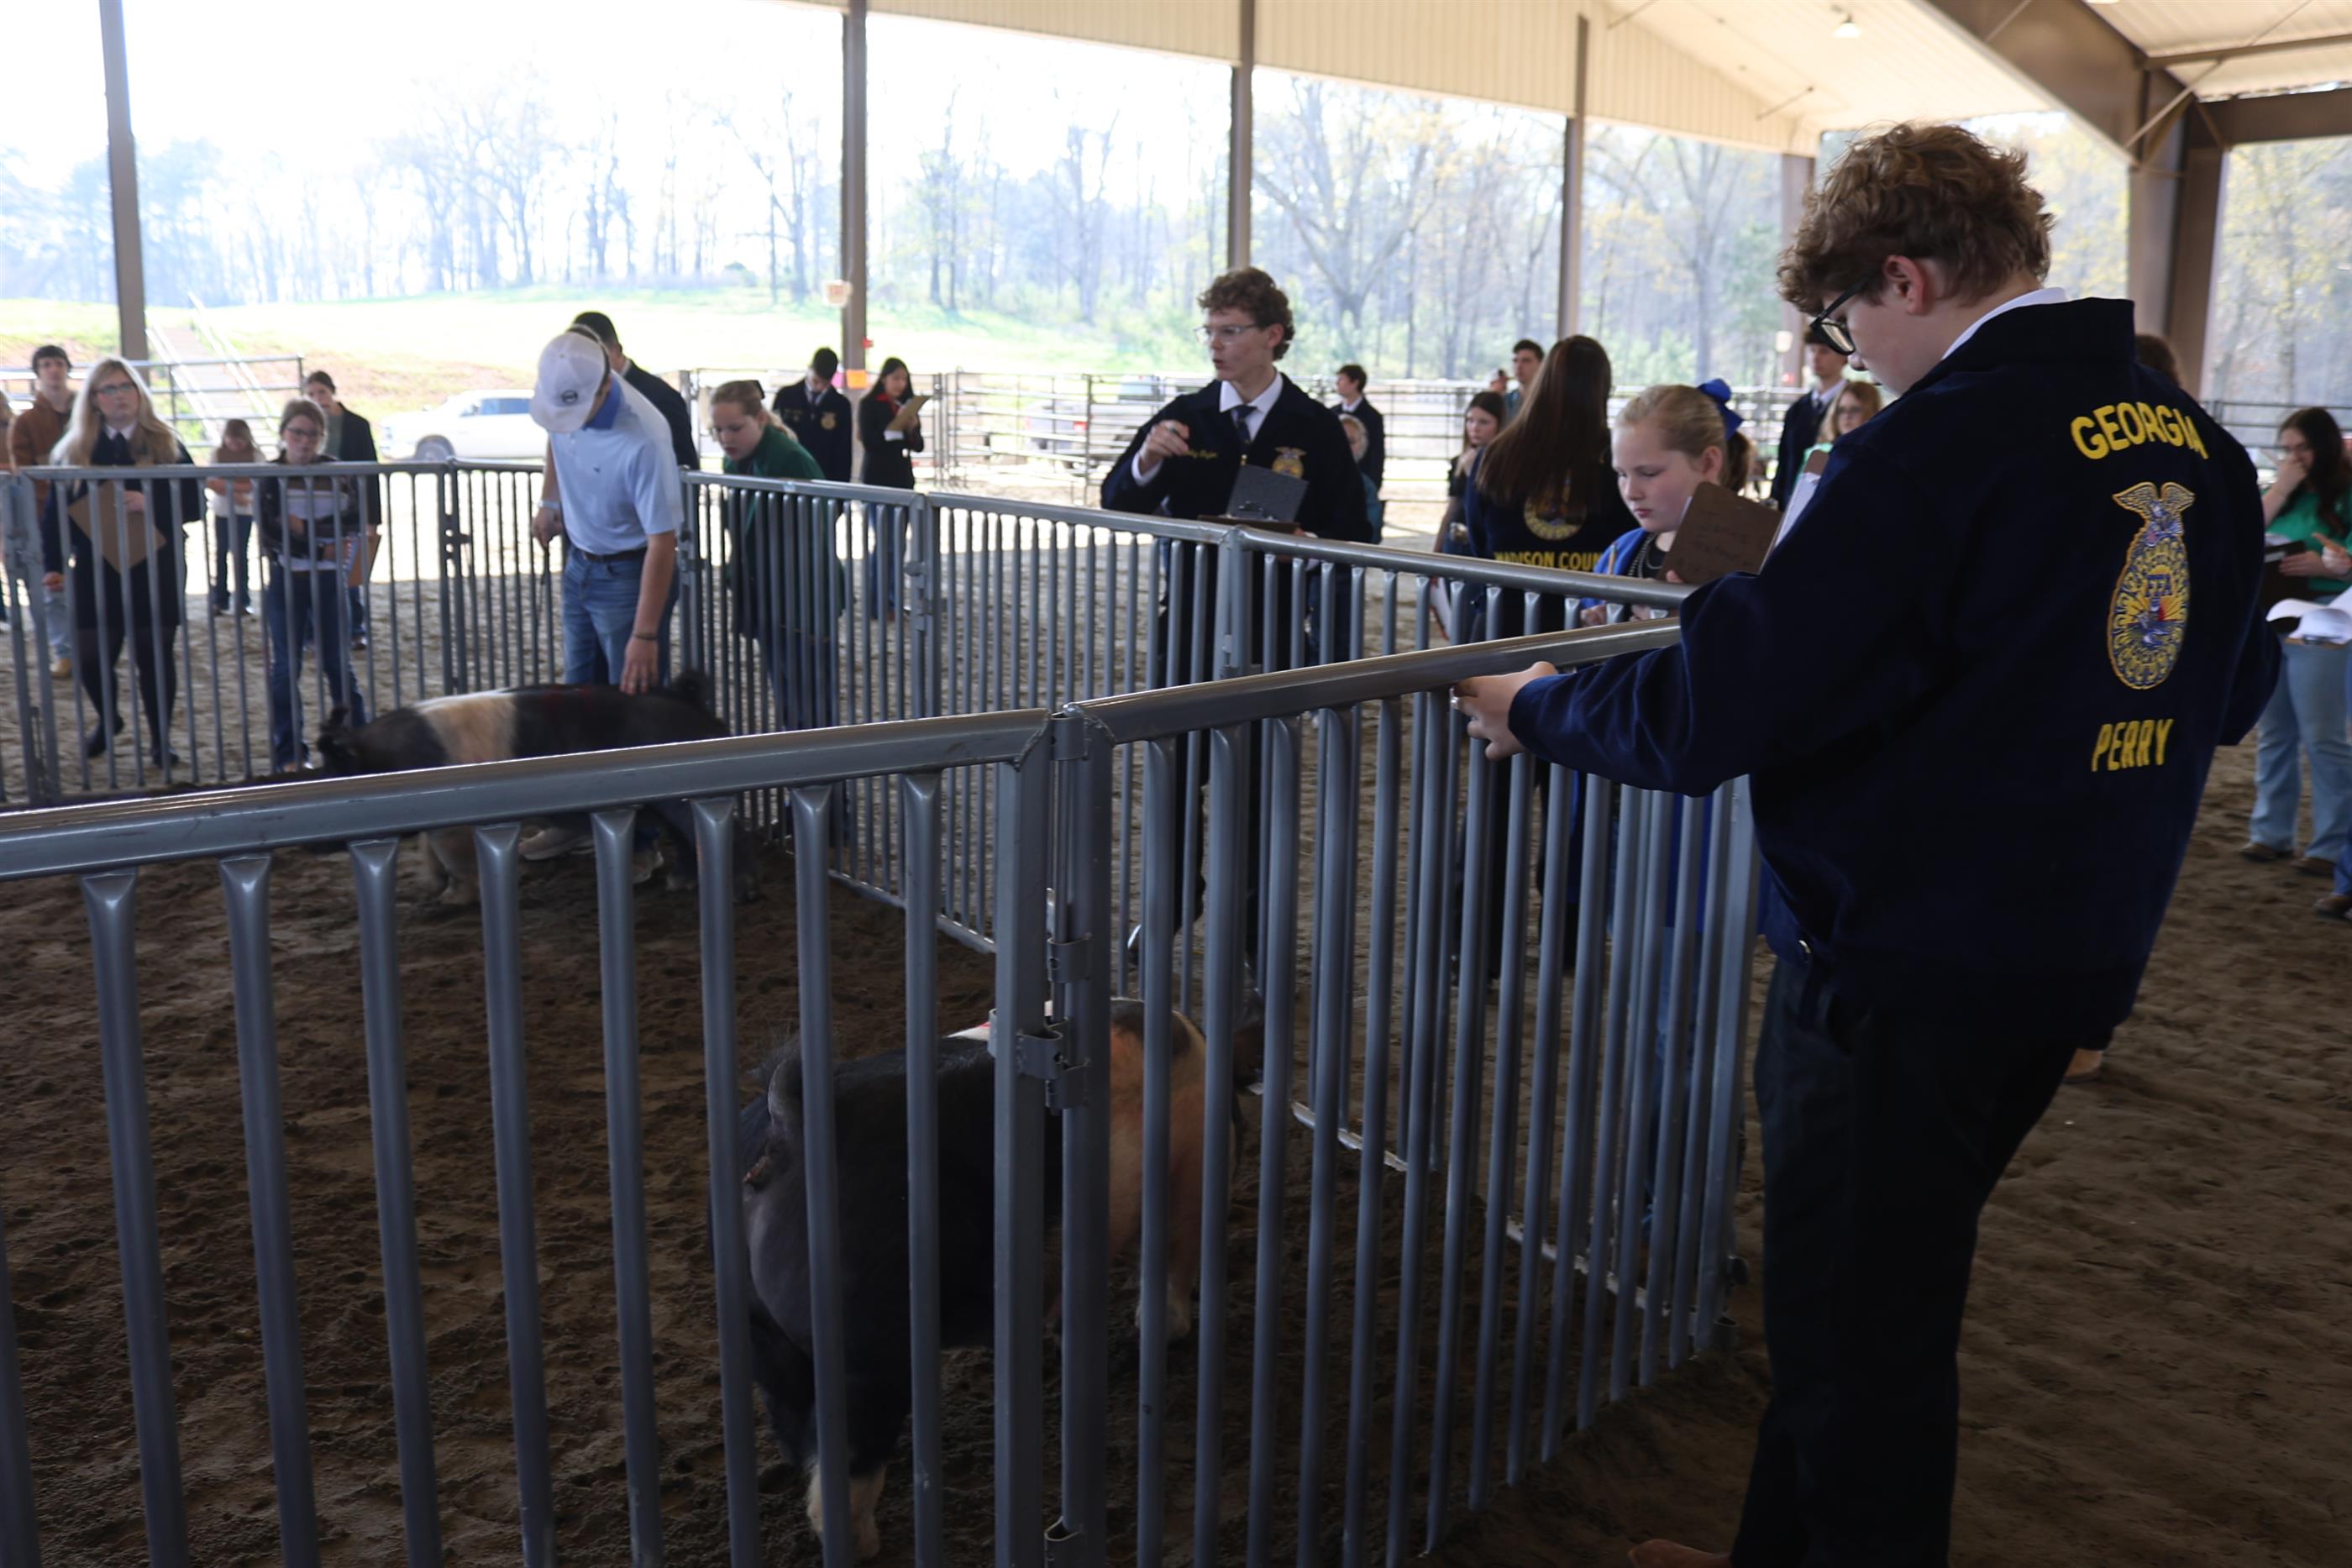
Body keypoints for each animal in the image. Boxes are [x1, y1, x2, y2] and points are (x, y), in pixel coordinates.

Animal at [311, 671, 759, 907]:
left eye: (333, 769)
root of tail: (693, 704)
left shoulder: (453, 826)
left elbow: (455, 858)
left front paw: (450, 900)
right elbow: (429, 852)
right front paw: (431, 886)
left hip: (688, 799)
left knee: (727, 837)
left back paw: (735, 892)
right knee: (686, 840)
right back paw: (681, 884)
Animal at [736, 997, 1253, 1560]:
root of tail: (789, 1124)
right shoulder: (1186, 1189)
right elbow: (1172, 1278)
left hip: (763, 1328)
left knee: (791, 1414)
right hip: (869, 1344)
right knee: (849, 1458)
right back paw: (866, 1546)